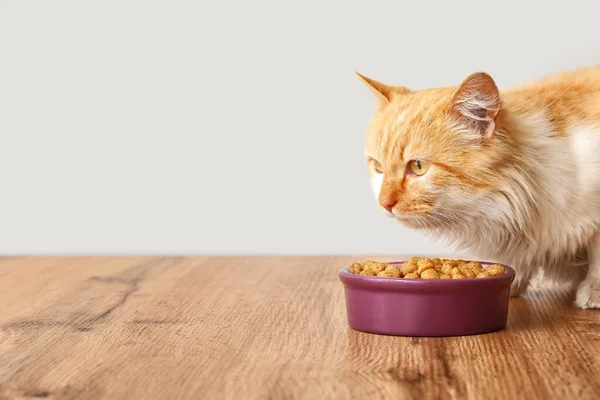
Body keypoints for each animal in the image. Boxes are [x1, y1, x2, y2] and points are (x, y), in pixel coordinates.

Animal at [356, 66, 600, 310]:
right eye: (378, 167)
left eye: (418, 166)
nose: (383, 203)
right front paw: (512, 280)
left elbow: (596, 254)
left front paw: (593, 290)